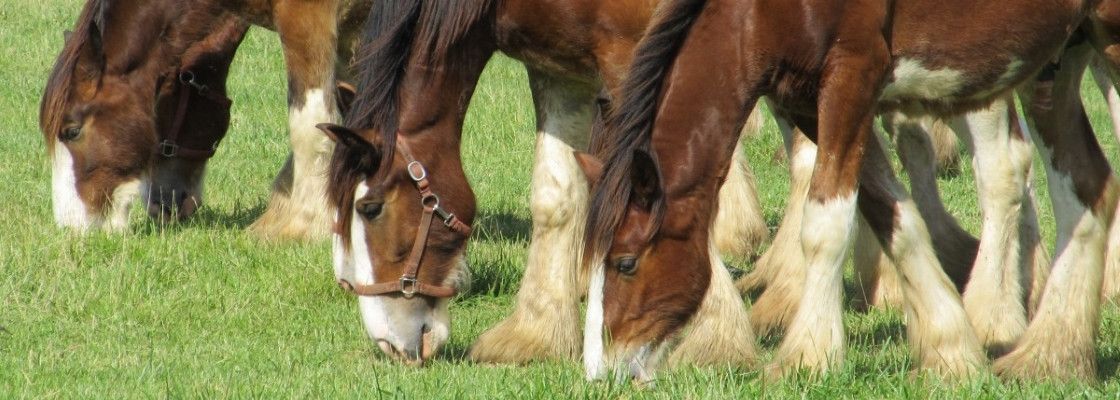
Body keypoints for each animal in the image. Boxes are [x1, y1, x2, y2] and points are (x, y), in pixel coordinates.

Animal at [317, 0, 771, 366]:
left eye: (370, 208)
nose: (388, 343)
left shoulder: (634, 57)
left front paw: (716, 340)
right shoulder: (556, 69)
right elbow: (556, 196)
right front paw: (535, 334)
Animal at [583, 0, 1118, 383]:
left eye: (625, 263)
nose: (598, 370)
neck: (758, 12)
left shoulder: (853, 77)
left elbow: (826, 225)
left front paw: (807, 356)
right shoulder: (807, 101)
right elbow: (892, 216)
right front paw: (950, 351)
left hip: (1106, 42)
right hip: (1060, 59)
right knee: (1087, 187)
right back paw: (1050, 356)